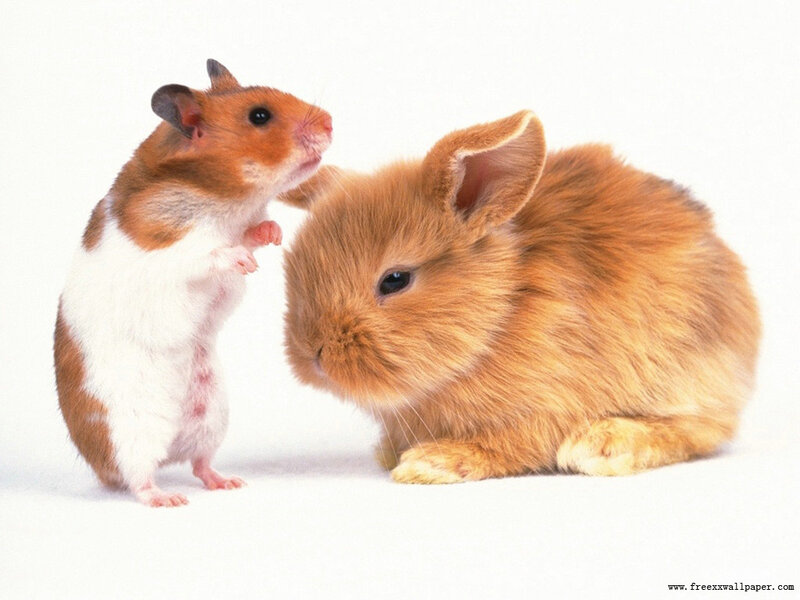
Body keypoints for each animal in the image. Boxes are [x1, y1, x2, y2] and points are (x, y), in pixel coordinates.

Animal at [54, 59, 332, 506]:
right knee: (138, 476)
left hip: (212, 414)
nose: (331, 122)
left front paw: (273, 234)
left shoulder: (239, 224)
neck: (224, 200)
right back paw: (166, 499)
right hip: (131, 429)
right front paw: (245, 264)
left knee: (199, 463)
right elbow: (210, 252)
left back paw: (229, 482)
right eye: (259, 116)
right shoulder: (173, 248)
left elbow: (250, 233)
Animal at [279, 110, 760, 484]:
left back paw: (604, 444)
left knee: (701, 428)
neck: (503, 309)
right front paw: (390, 453)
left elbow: (510, 446)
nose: (313, 353)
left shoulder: (546, 405)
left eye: (395, 280)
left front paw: (430, 463)